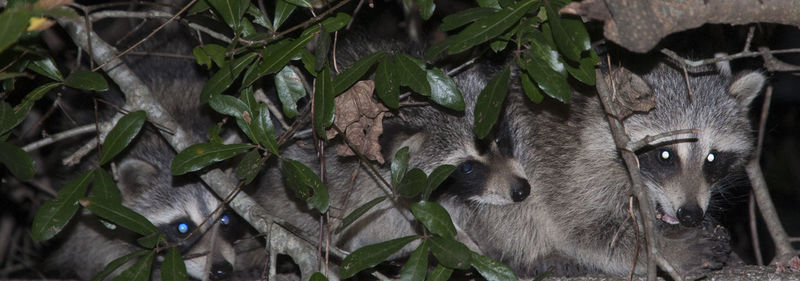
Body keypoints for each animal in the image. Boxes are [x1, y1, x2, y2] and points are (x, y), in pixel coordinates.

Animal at [460, 57, 764, 276]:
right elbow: (585, 231)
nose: (690, 214)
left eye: (712, 158)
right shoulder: (567, 165)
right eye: (665, 155)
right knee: (513, 211)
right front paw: (667, 249)